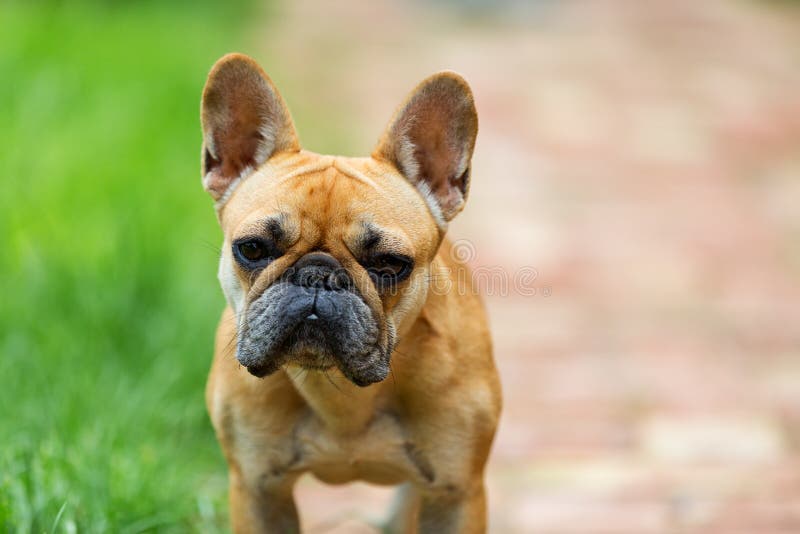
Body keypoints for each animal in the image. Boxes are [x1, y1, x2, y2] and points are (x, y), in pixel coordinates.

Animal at [200, 52, 500, 532]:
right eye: (252, 248)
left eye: (389, 264)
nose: (318, 276)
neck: (338, 390)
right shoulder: (258, 491)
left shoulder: (454, 495)